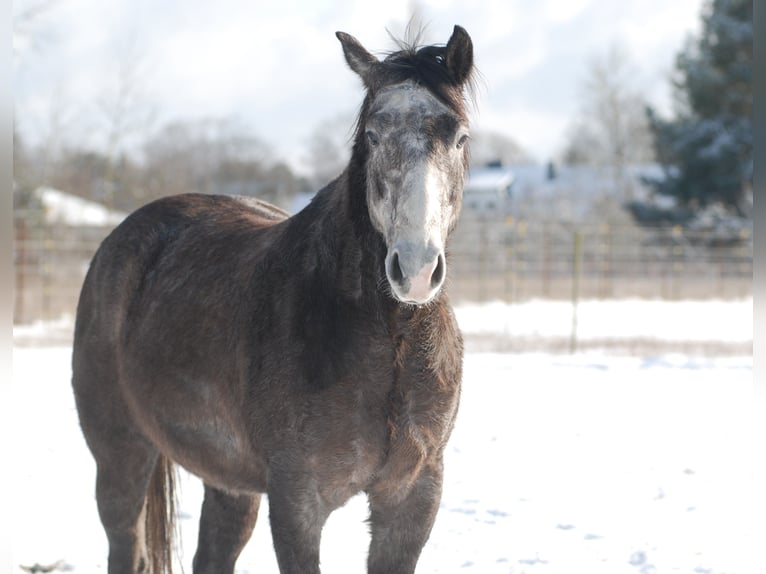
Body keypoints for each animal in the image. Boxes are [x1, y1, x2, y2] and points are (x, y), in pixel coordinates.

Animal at [75, 25, 476, 574]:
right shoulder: (297, 500)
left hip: (228, 480)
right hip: (121, 452)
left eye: (459, 136)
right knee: (124, 543)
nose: (414, 269)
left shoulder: (412, 497)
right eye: (373, 135)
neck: (389, 347)